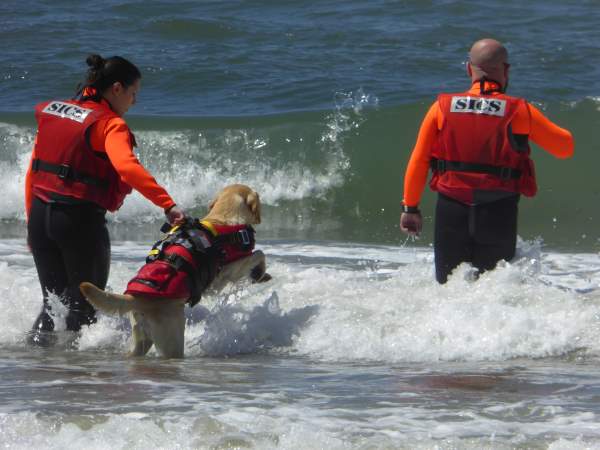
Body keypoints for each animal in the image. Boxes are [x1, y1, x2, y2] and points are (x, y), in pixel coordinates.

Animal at [79, 184, 270, 358]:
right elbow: (259, 254)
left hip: (140, 339)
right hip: (173, 337)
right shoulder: (224, 275)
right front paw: (260, 274)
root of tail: (136, 297)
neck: (224, 217)